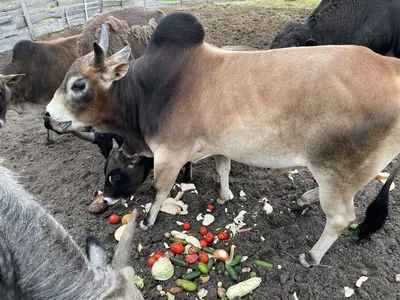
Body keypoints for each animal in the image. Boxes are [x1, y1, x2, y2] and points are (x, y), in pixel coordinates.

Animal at [43, 11, 400, 268]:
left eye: (77, 85)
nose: (47, 113)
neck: (148, 92)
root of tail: (389, 66)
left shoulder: (169, 154)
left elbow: (159, 190)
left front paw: (146, 221)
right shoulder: (218, 146)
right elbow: (223, 170)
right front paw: (226, 195)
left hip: (336, 169)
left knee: (341, 218)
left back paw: (312, 255)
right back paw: (302, 200)